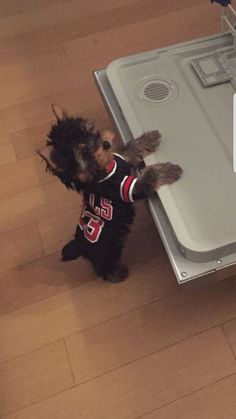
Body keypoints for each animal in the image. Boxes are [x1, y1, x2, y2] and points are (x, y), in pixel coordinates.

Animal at [37, 105, 183, 284]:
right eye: (85, 151)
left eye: (91, 132)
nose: (105, 144)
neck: (102, 171)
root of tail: (79, 245)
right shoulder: (125, 189)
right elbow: (148, 177)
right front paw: (169, 170)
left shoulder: (120, 158)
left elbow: (129, 149)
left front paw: (148, 138)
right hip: (106, 250)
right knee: (102, 268)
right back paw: (118, 274)